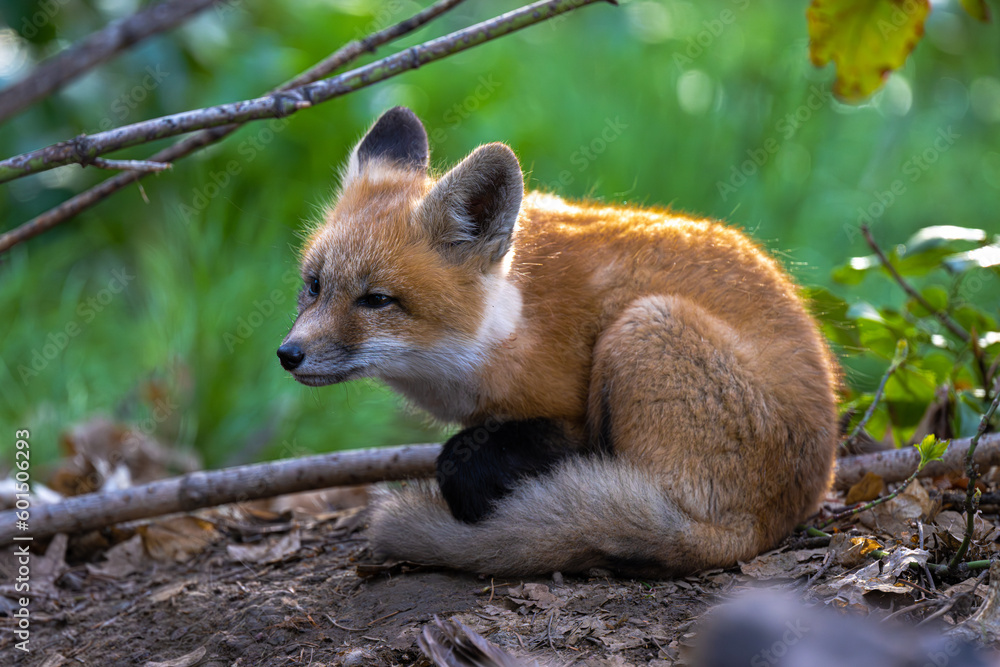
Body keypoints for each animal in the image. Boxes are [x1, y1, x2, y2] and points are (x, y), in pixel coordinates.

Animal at [277, 106, 839, 578]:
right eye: (315, 286)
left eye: (376, 300)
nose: (288, 355)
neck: (504, 327)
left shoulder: (569, 412)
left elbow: (463, 460)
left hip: (643, 327)